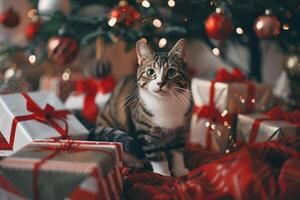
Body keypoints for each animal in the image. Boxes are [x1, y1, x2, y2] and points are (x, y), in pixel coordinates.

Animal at [96, 38, 192, 176]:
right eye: (150, 72)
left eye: (171, 72)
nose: (160, 83)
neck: (165, 103)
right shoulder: (146, 132)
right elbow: (157, 156)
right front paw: (163, 174)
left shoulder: (181, 130)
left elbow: (177, 151)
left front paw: (179, 171)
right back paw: (136, 162)